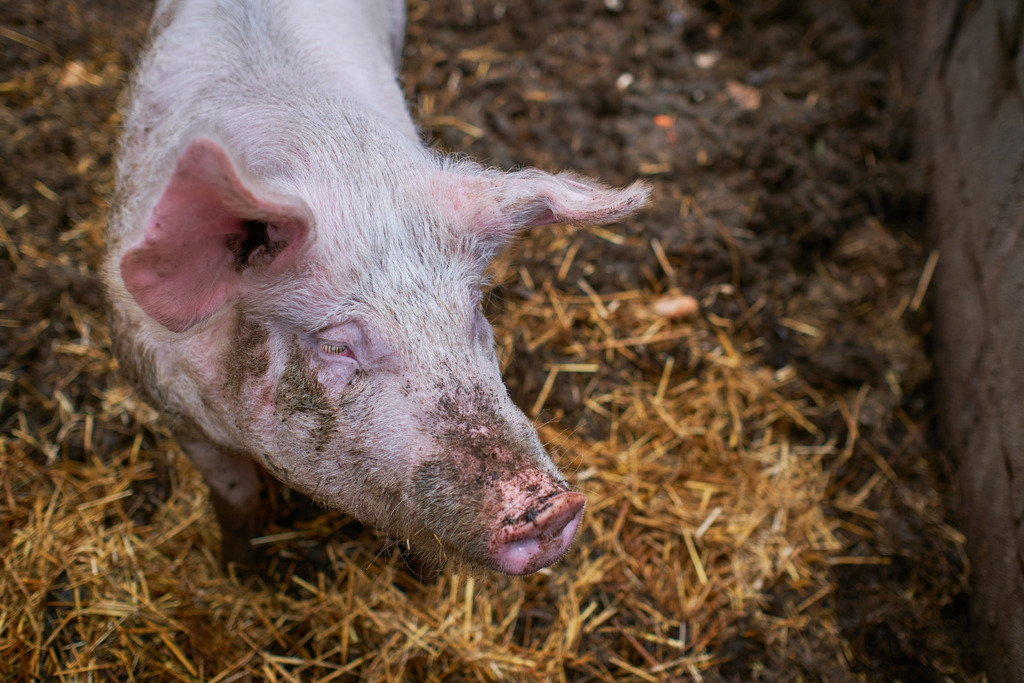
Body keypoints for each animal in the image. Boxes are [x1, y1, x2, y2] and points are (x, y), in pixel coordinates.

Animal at [103, 0, 649, 576]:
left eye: (475, 309)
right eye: (336, 346)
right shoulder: (166, 398)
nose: (550, 507)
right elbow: (234, 496)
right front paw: (241, 574)